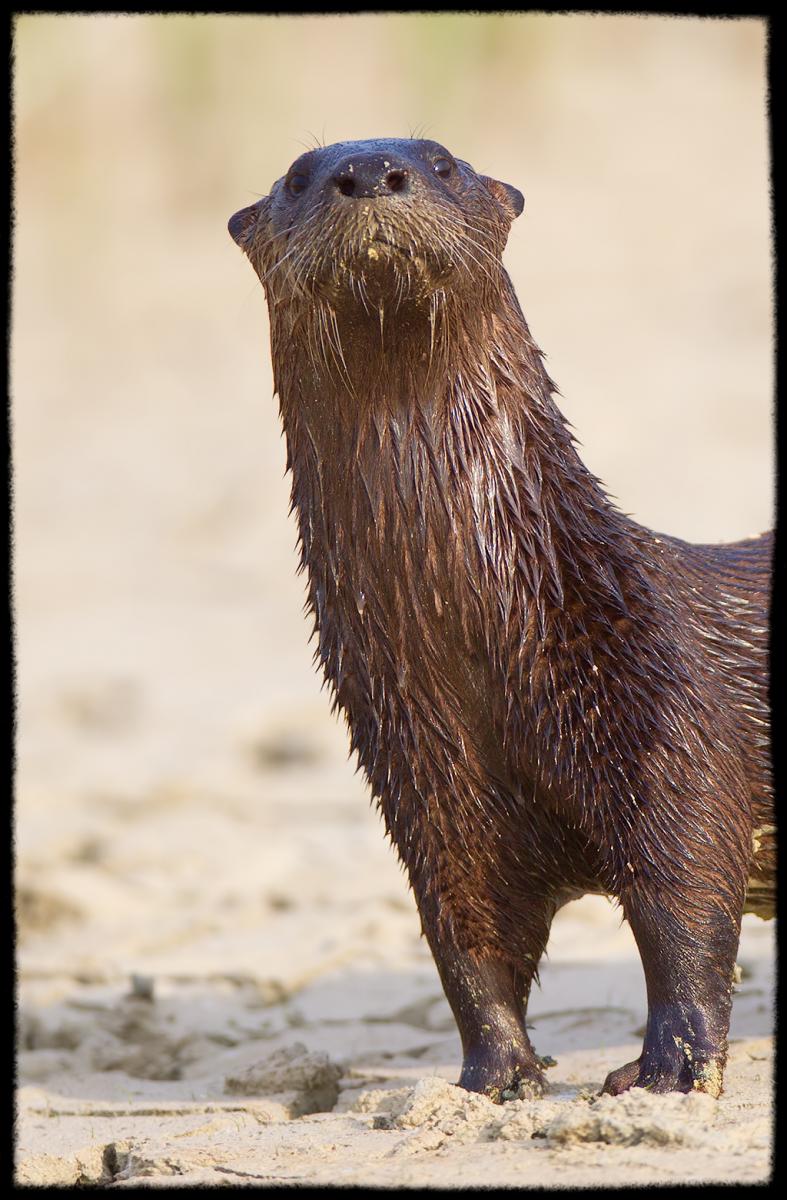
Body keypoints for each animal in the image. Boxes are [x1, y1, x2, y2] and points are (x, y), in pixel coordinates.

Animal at [229, 136, 772, 1099]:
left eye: (440, 161)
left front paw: (668, 1067)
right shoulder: (422, 773)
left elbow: (687, 899)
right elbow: (466, 939)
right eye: (296, 173)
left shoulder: (673, 719)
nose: (370, 172)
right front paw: (496, 1074)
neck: (492, 638)